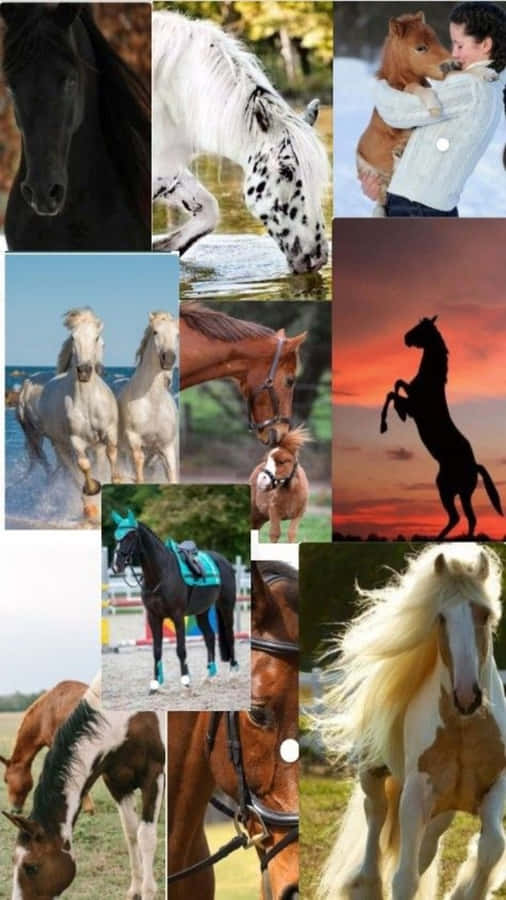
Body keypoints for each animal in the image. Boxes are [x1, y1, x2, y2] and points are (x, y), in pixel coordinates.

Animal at [17, 308, 120, 516]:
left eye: (98, 338)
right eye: (73, 337)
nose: (85, 371)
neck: (88, 402)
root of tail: (25, 385)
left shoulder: (108, 435)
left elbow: (111, 456)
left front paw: (116, 481)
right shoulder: (76, 441)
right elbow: (84, 467)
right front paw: (93, 490)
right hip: (45, 440)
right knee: (57, 467)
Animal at [111, 512, 238, 694]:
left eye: (131, 535)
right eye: (116, 536)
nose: (116, 565)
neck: (160, 574)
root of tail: (225, 562)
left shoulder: (177, 616)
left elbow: (180, 649)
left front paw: (185, 681)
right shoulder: (154, 617)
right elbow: (156, 650)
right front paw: (155, 684)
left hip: (226, 607)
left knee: (229, 635)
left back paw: (233, 673)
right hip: (202, 611)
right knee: (209, 636)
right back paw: (209, 675)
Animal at [118, 311, 179, 484]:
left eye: (177, 334)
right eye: (155, 332)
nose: (169, 358)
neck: (153, 404)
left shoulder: (167, 448)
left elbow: (173, 477)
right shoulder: (135, 442)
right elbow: (138, 476)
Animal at [317, 543, 506, 900]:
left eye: (485, 614)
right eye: (441, 617)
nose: (467, 696)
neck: (464, 728)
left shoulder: (496, 786)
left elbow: (492, 847)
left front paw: (466, 891)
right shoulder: (415, 795)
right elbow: (404, 878)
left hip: (443, 808)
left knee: (426, 846)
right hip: (373, 772)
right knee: (375, 814)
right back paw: (366, 883)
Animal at [380, 316, 503, 539]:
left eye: (422, 328)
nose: (406, 338)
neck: (431, 381)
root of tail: (475, 465)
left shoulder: (415, 406)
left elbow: (393, 392)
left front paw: (386, 423)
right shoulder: (411, 399)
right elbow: (397, 386)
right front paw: (396, 416)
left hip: (448, 490)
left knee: (460, 517)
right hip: (460, 492)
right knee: (467, 518)